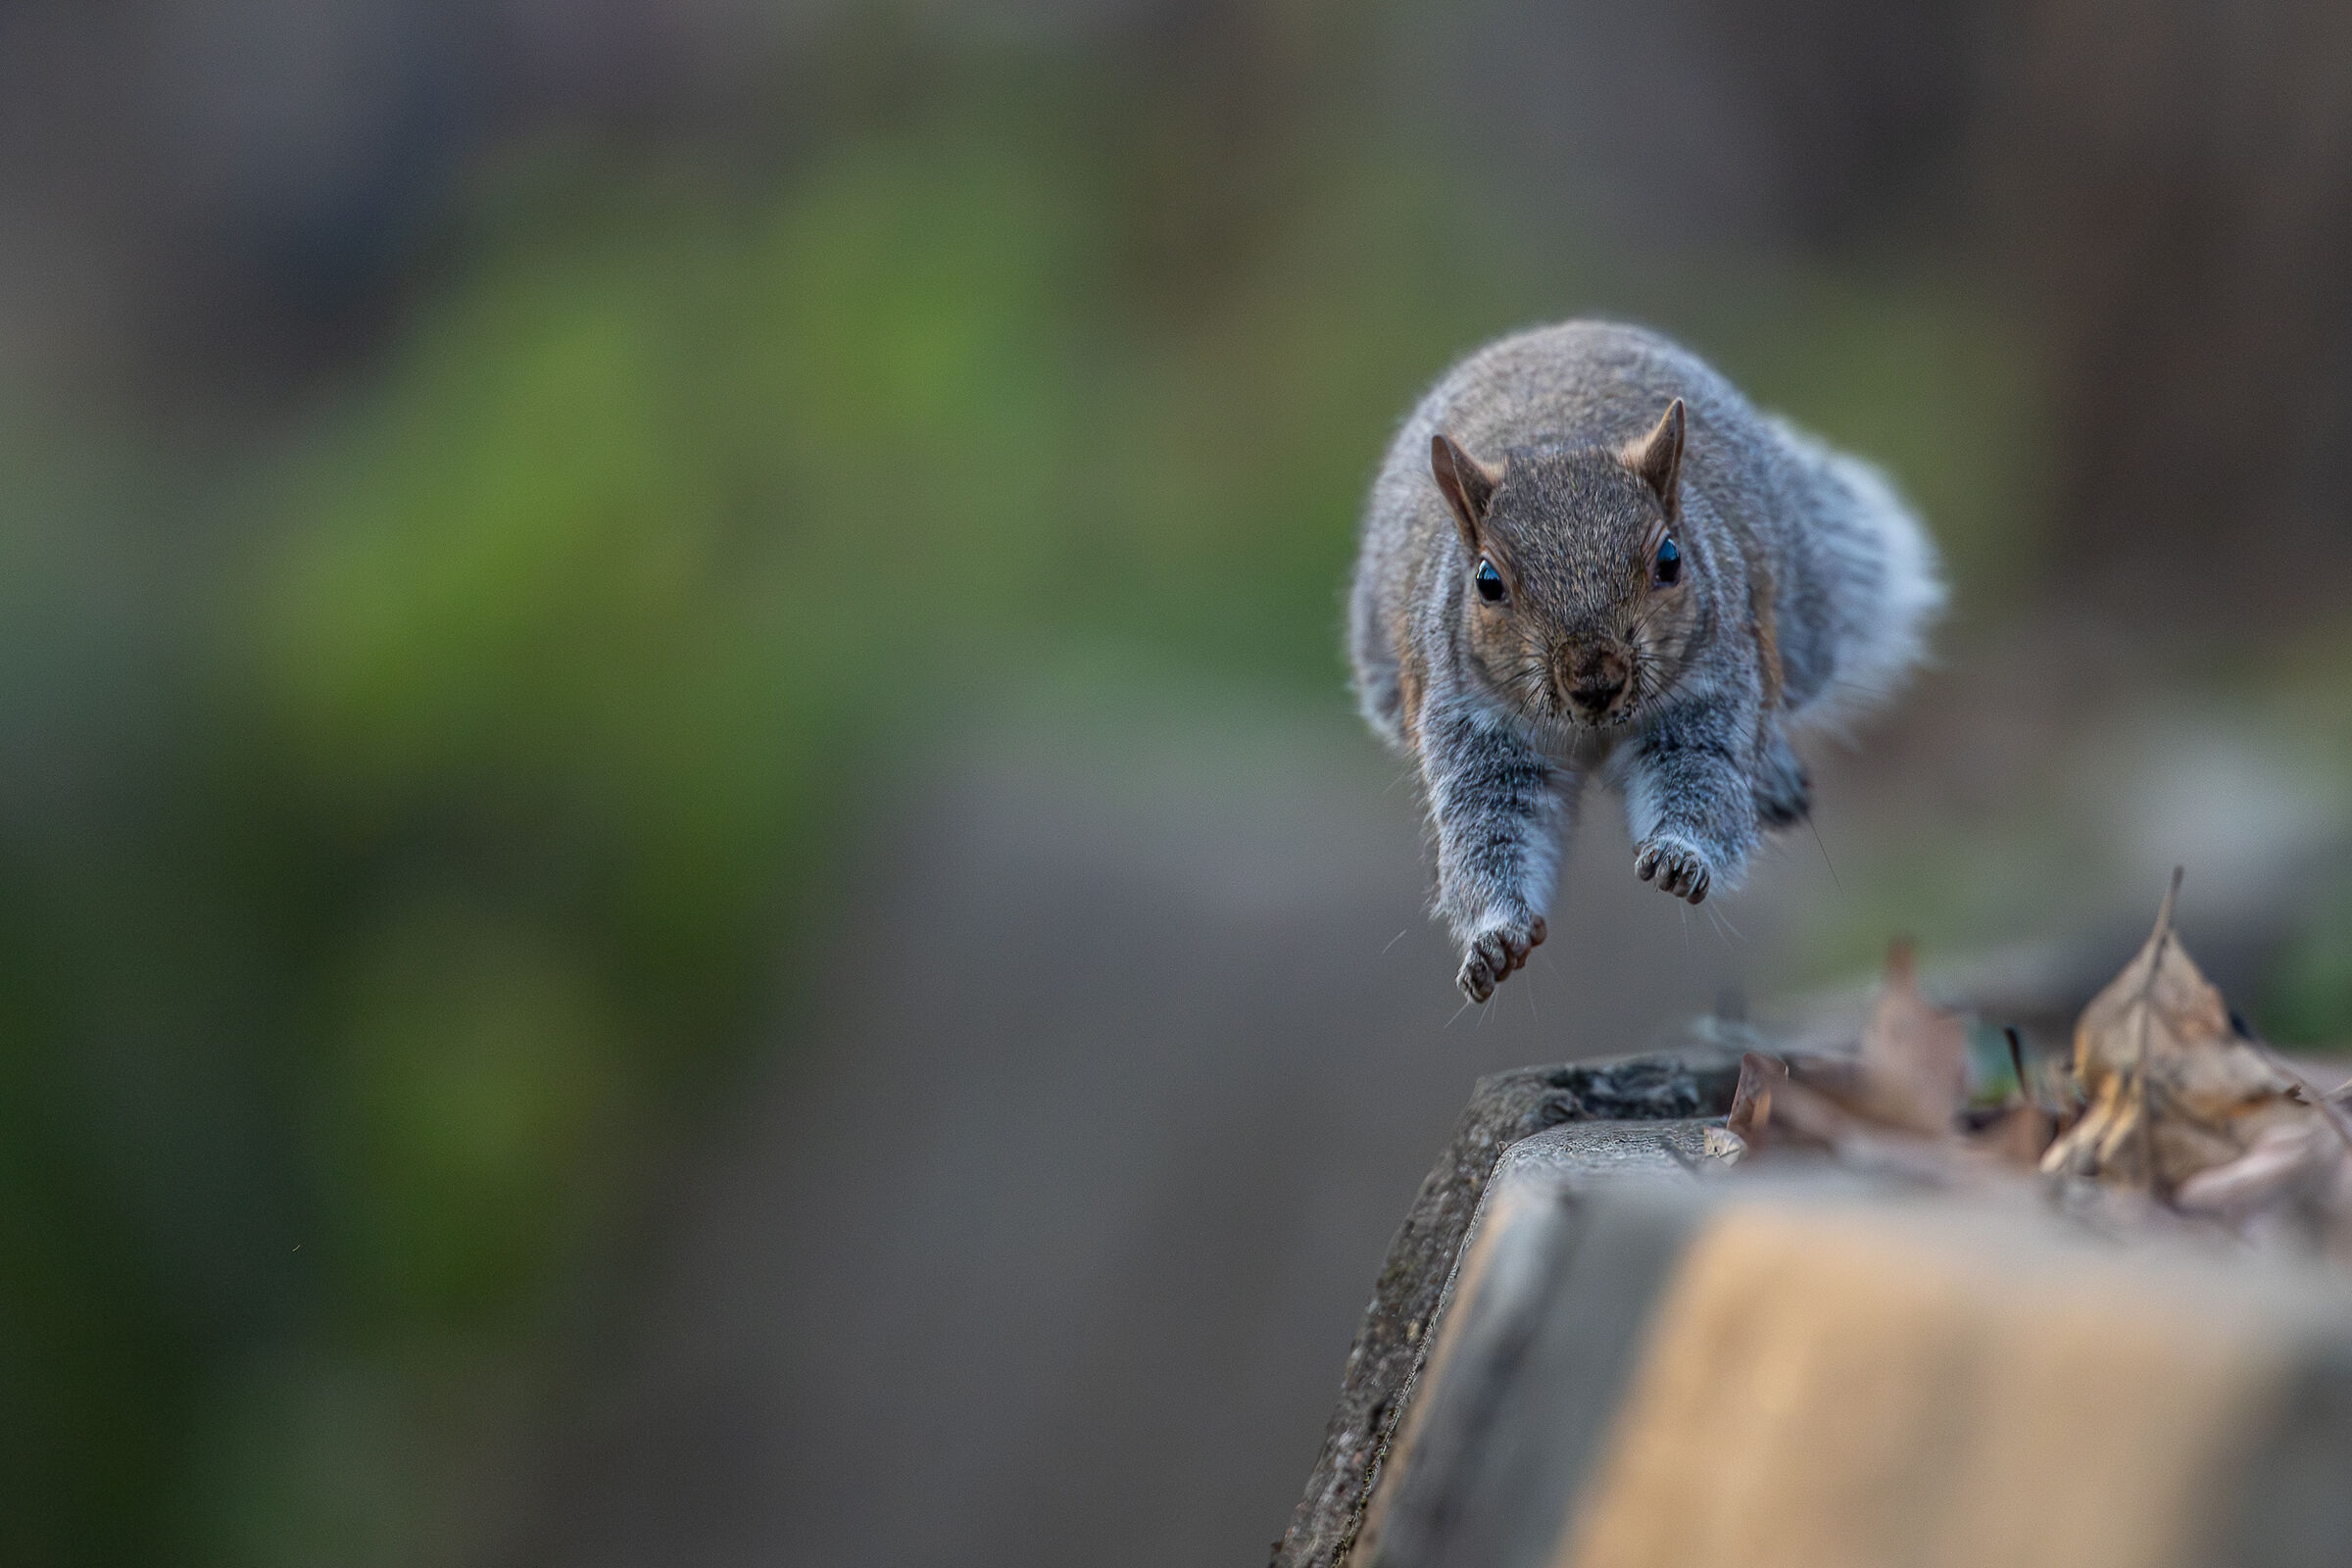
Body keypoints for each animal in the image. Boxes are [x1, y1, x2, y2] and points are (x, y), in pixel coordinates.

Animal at [1348, 320, 1943, 1002]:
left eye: (1670, 560)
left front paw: (1681, 855)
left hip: (1805, 626)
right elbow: (1489, 828)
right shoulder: (1473, 729)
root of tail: (1553, 332)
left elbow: (1702, 775)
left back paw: (1774, 773)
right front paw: (1493, 939)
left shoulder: (1710, 690)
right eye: (1487, 582)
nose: (1595, 681)